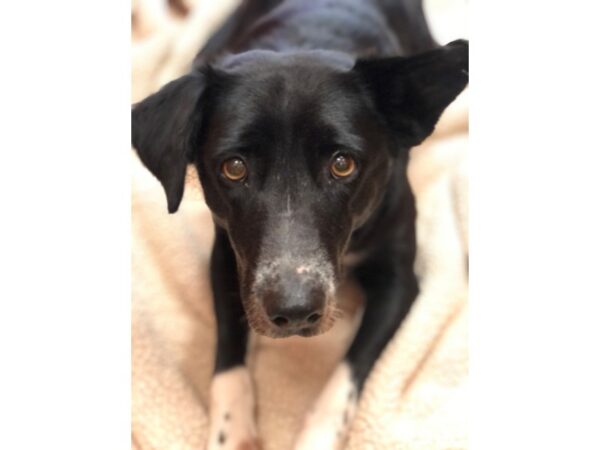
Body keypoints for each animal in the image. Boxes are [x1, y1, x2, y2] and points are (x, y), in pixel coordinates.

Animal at [131, 0, 468, 446]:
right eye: (234, 168)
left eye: (343, 164)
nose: (293, 312)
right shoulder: (230, 256)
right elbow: (228, 340)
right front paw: (231, 431)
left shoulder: (399, 278)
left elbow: (352, 365)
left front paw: (317, 436)